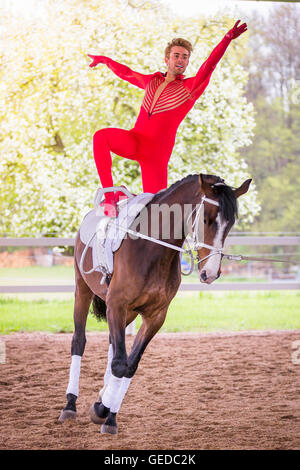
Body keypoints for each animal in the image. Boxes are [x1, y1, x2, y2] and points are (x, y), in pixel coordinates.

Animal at [58, 173, 251, 434]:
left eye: (230, 224)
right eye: (207, 219)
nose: (210, 273)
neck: (153, 250)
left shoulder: (155, 316)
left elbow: (130, 364)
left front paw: (108, 413)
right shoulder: (116, 305)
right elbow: (120, 364)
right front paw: (101, 411)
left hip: (126, 313)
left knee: (113, 346)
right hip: (83, 290)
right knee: (79, 341)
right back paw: (70, 405)